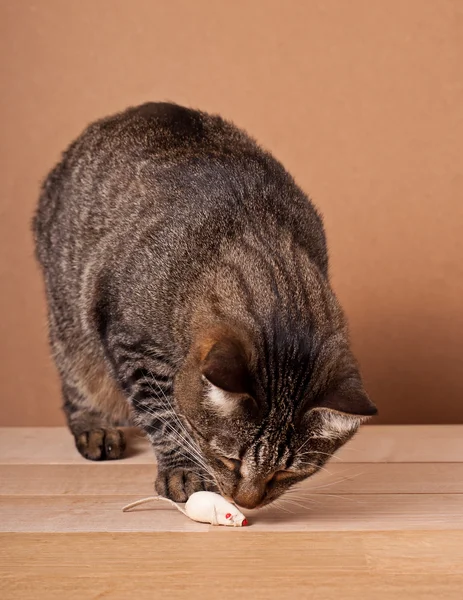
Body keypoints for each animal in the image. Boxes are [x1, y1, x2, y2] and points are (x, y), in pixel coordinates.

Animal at [32, 102, 376, 506]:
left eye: (287, 473)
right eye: (229, 459)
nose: (246, 502)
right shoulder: (132, 342)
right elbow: (164, 413)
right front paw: (182, 468)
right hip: (71, 324)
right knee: (76, 385)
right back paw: (94, 427)